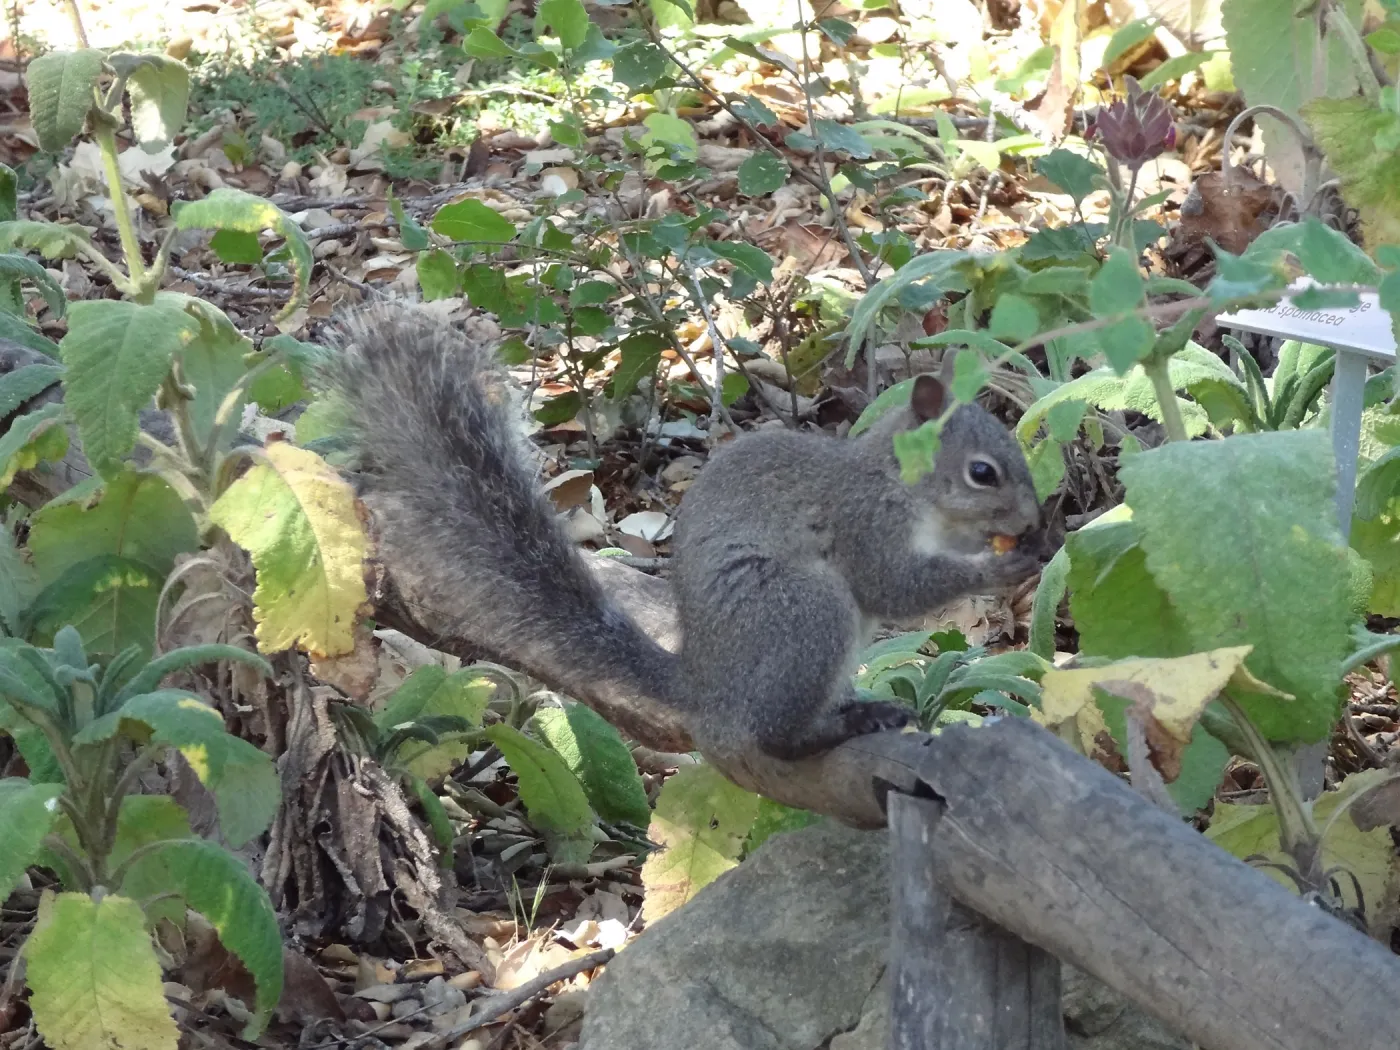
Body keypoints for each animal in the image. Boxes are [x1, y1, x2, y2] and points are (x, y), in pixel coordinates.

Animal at [318, 303, 1044, 761]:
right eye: (983, 472)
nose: (1034, 520)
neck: (905, 486)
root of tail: (706, 686)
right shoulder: (863, 521)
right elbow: (894, 587)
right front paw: (999, 568)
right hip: (803, 610)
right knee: (774, 737)